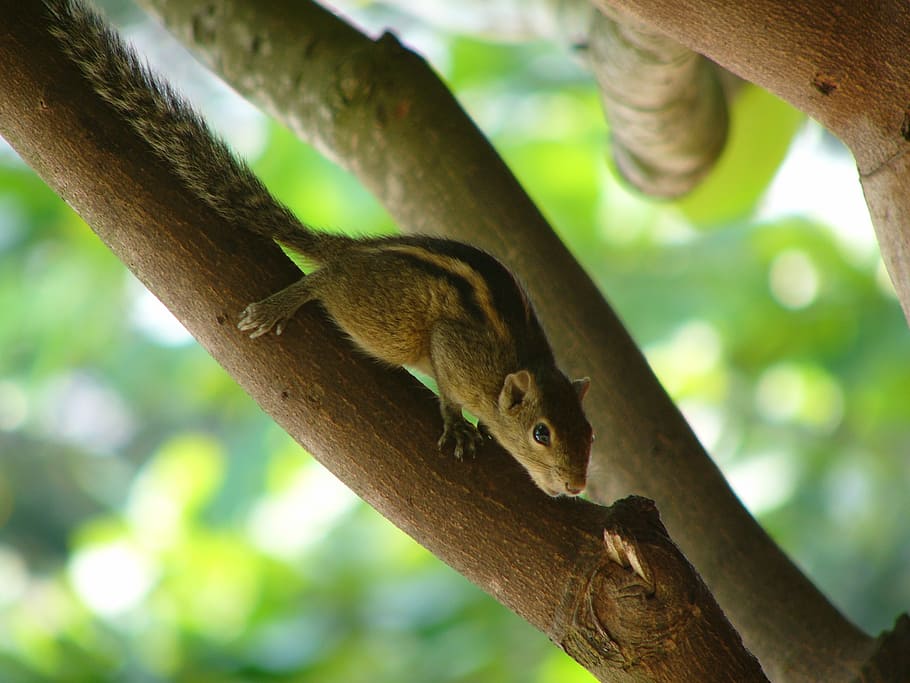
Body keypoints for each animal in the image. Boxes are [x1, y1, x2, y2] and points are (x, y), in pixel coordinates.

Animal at [45, 0, 594, 496]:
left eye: (590, 433)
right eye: (541, 433)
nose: (575, 485)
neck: (514, 367)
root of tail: (355, 251)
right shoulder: (458, 353)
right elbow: (448, 385)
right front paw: (459, 425)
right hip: (389, 320)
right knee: (332, 282)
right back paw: (285, 302)